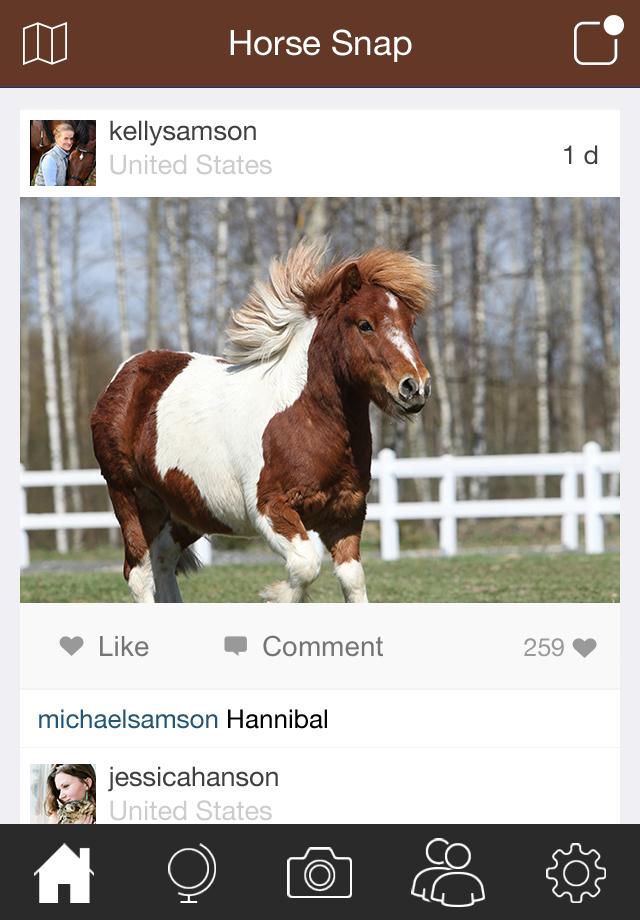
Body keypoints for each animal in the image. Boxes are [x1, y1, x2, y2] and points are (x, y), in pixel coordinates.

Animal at [91, 240, 433, 604]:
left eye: (410, 323)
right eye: (365, 324)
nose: (415, 387)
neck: (305, 419)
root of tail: (122, 376)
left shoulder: (347, 515)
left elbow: (353, 581)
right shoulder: (270, 511)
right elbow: (306, 566)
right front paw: (274, 595)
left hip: (189, 511)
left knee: (163, 559)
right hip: (131, 498)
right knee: (139, 573)